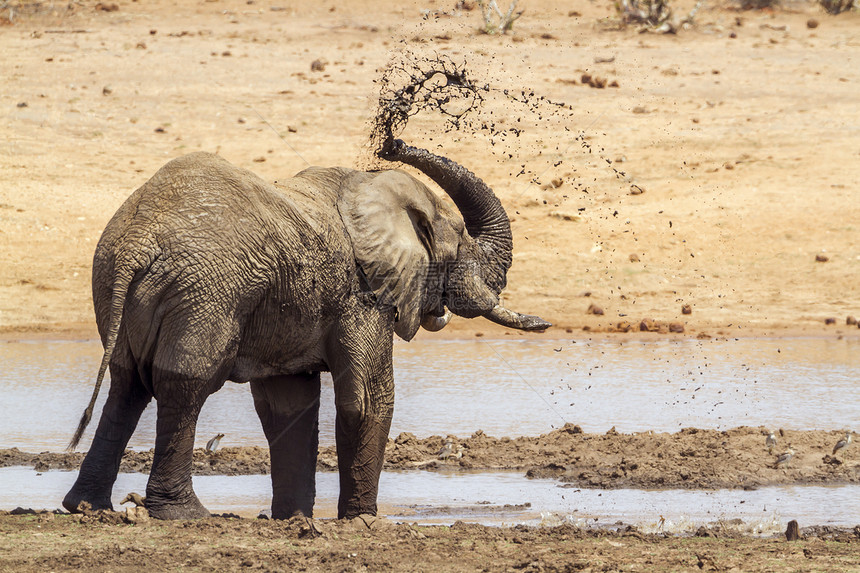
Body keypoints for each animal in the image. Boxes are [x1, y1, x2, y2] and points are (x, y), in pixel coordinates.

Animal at [65, 137, 552, 520]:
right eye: (457, 243)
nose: (391, 141)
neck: (368, 185)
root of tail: (138, 239)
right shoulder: (363, 293)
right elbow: (368, 397)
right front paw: (362, 521)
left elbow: (289, 406)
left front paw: (294, 520)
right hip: (205, 292)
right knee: (185, 381)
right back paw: (186, 515)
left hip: (113, 278)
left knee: (127, 383)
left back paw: (87, 507)